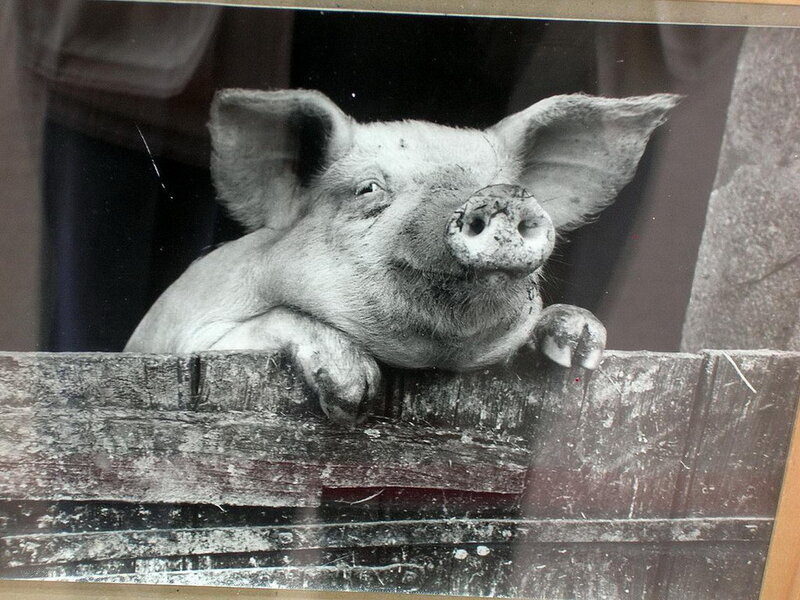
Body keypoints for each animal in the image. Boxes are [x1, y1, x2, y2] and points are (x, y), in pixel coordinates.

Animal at [125, 88, 679, 424]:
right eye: (368, 188)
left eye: (505, 183)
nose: (501, 195)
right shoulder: (189, 339)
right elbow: (277, 319)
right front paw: (355, 393)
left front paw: (579, 343)